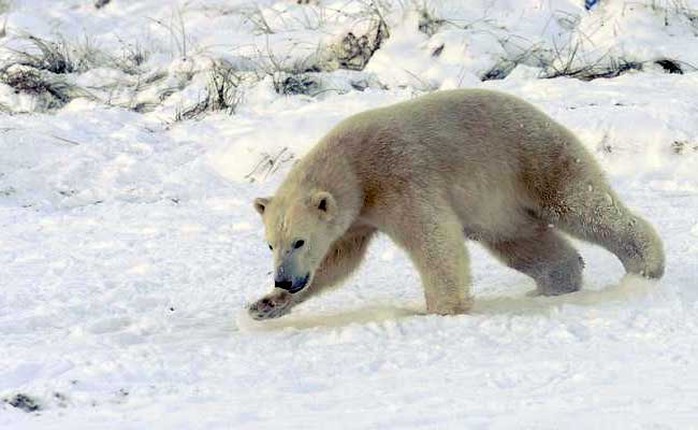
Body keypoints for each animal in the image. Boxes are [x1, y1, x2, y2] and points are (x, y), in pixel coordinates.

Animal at [246, 89, 664, 320]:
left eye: (299, 241)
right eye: (270, 245)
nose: (284, 279)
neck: (354, 167)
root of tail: (546, 118)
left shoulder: (399, 178)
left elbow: (434, 239)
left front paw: (440, 311)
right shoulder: (357, 218)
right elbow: (337, 262)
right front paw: (264, 306)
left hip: (534, 160)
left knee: (580, 206)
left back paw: (646, 265)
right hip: (500, 204)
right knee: (522, 243)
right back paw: (553, 285)